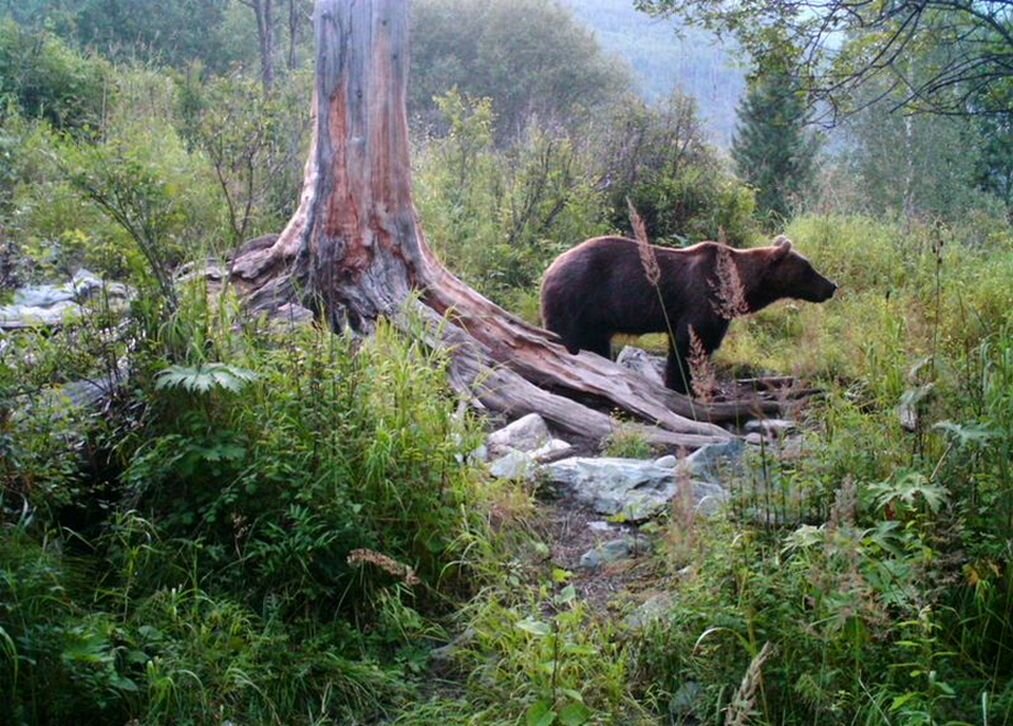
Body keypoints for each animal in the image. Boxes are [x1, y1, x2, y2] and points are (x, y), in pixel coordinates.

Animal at [538, 234, 838, 392]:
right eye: (809, 268)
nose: (832, 286)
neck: (735, 286)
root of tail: (550, 267)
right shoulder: (700, 301)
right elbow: (689, 343)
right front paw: (683, 385)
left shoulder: (717, 313)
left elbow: (705, 343)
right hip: (576, 297)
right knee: (567, 336)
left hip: (595, 316)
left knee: (597, 344)